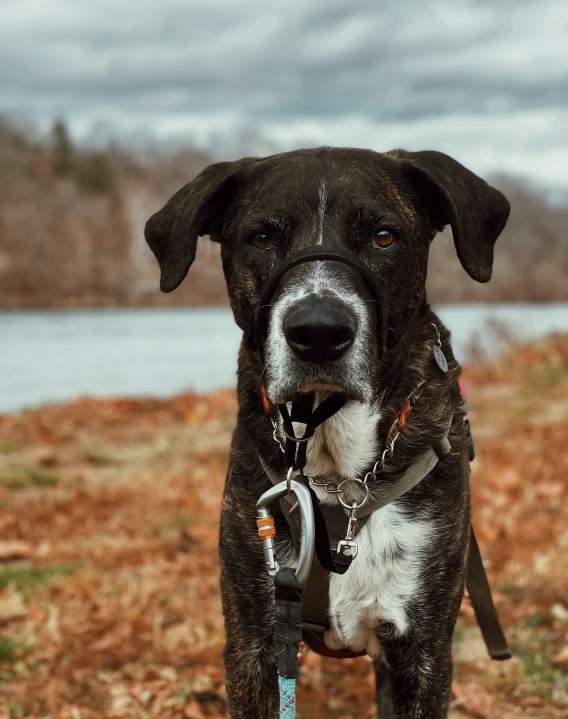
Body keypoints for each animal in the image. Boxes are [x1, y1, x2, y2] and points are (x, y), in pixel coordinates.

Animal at [144, 148, 508, 719]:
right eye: (261, 238)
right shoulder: (254, 642)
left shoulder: (422, 654)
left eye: (383, 236)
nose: (318, 331)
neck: (339, 476)